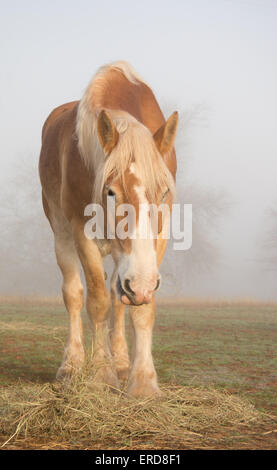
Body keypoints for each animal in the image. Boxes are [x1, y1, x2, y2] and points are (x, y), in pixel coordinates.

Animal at [38, 59, 177, 396]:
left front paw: (142, 381)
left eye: (164, 193)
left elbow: (139, 307)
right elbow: (97, 301)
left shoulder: (157, 240)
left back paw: (122, 363)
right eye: (111, 192)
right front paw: (101, 374)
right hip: (61, 233)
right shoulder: (81, 230)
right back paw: (72, 365)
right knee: (74, 294)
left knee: (118, 299)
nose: (139, 285)